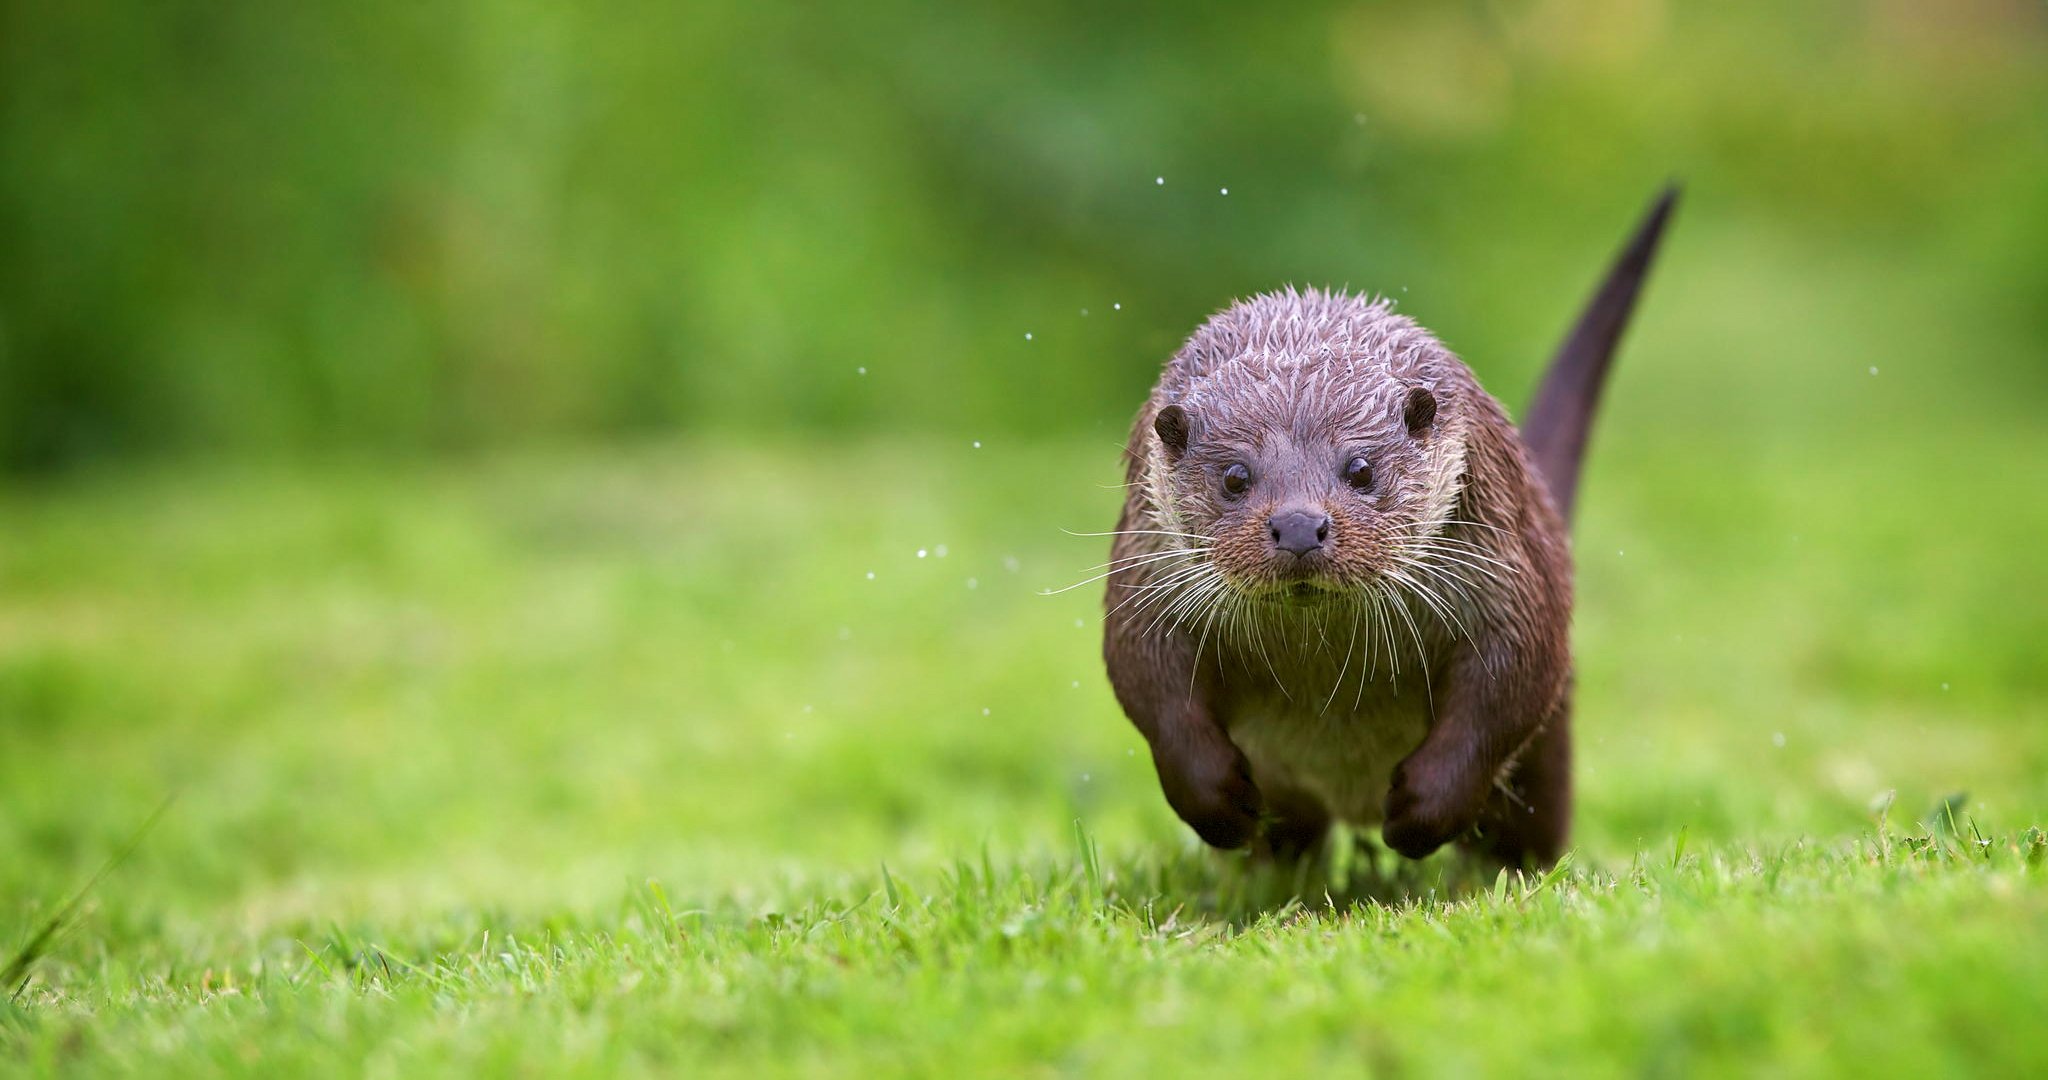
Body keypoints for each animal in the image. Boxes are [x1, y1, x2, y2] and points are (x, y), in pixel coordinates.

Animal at [1102, 189, 1677, 867]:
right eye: (1236, 476)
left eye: (1360, 467)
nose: (1300, 525)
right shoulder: (1146, 576)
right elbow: (1148, 682)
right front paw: (1219, 802)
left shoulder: (1509, 582)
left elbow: (1508, 686)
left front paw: (1420, 810)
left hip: (1552, 748)